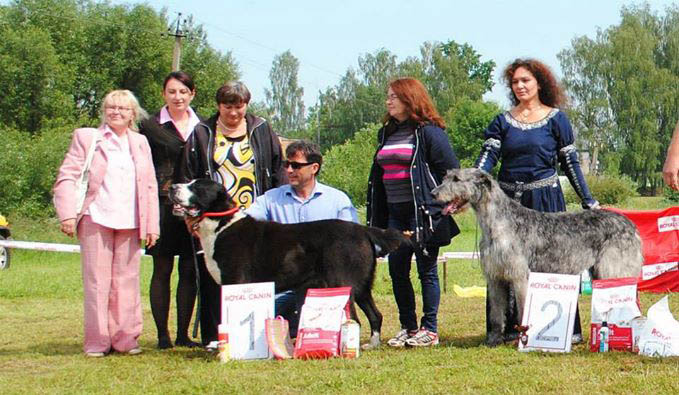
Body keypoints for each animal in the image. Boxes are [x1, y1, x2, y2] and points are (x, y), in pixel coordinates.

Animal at [432, 169, 644, 348]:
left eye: (457, 179)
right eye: (446, 177)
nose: (434, 194)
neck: (498, 223)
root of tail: (630, 224)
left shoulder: (520, 276)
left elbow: (523, 309)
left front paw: (523, 339)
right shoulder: (495, 278)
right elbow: (496, 313)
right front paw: (494, 340)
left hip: (615, 271)